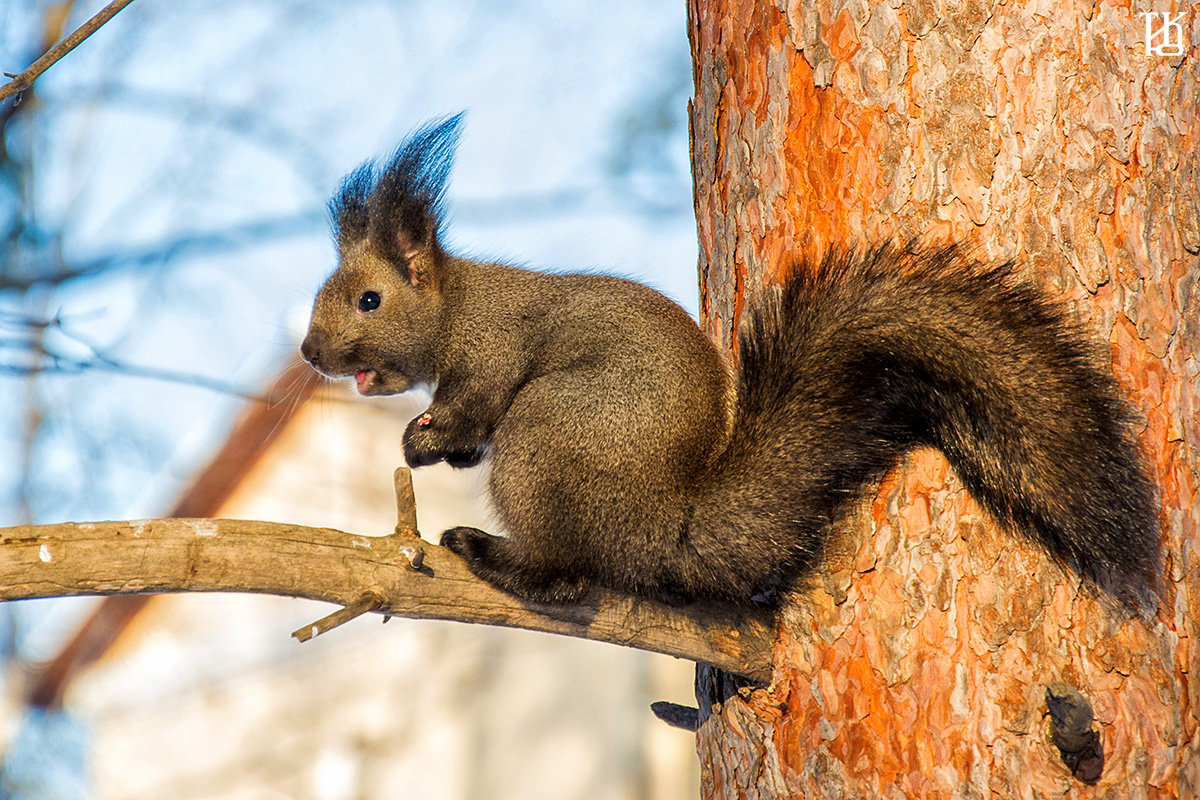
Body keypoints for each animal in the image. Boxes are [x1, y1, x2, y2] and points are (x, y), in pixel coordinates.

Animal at [297, 113, 1152, 606]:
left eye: (368, 300)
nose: (309, 353)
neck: (459, 305)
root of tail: (663, 528)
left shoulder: (493, 355)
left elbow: (473, 411)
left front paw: (423, 440)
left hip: (544, 438)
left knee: (567, 578)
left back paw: (492, 554)